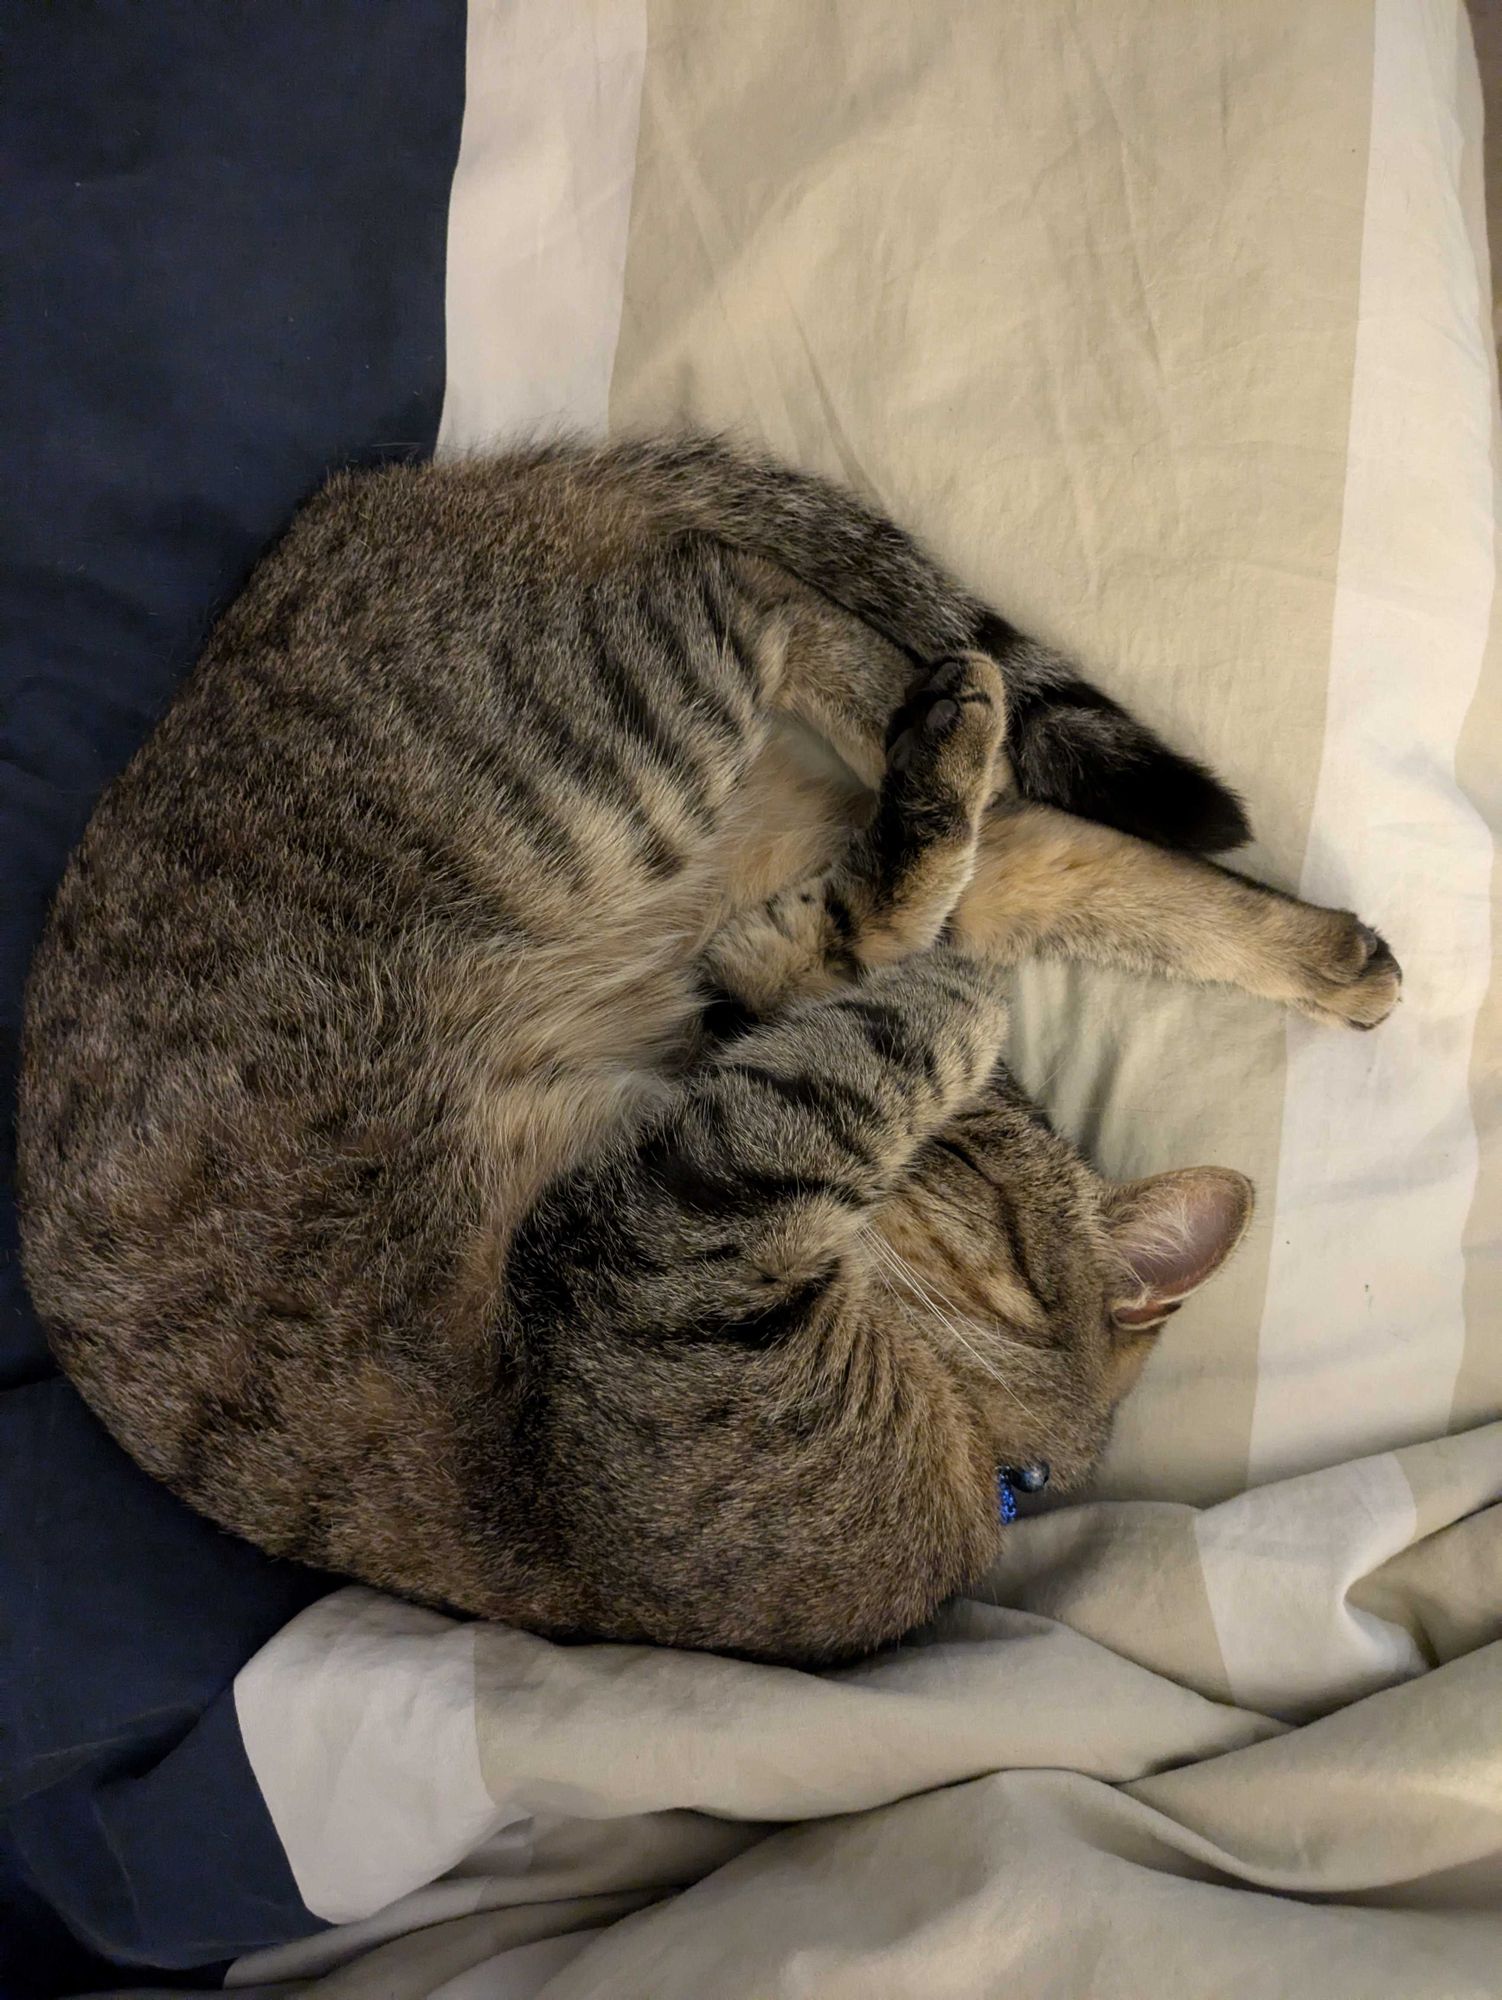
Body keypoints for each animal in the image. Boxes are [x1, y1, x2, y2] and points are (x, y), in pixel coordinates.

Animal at [11, 446, 1408, 1664]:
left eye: (963, 1156)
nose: (958, 1111)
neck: (966, 1430)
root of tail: (371, 494)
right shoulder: (695, 1124)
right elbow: (855, 990)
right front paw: (947, 995)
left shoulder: (673, 1224)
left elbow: (857, 1011)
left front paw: (947, 996)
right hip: (640, 767)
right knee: (823, 649)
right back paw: (961, 722)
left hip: (641, 763)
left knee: (809, 647)